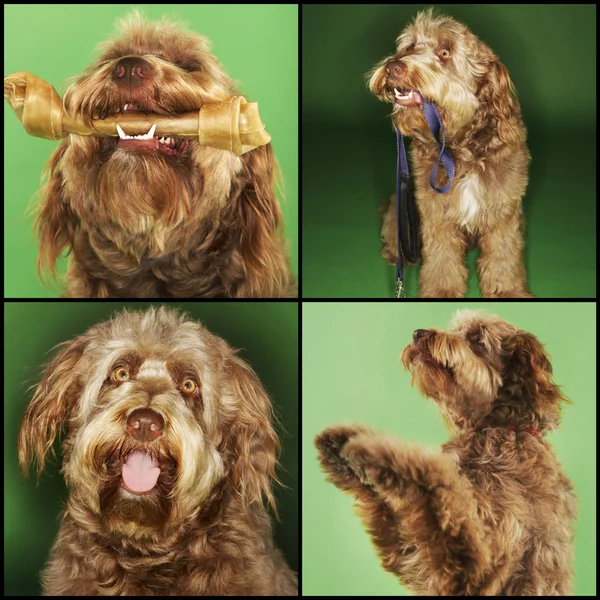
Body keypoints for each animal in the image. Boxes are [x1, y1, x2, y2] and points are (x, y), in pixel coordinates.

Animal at [316, 312, 576, 592]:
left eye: (477, 338)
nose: (418, 333)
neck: (495, 429)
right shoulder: (416, 559)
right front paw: (346, 443)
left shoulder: (482, 560)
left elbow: (438, 480)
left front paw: (377, 453)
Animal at [368, 9, 532, 298]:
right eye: (409, 46)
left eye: (445, 52)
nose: (393, 67)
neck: (461, 149)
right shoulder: (434, 212)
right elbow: (441, 258)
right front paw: (441, 290)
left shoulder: (504, 210)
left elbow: (504, 254)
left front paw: (506, 291)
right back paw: (396, 254)